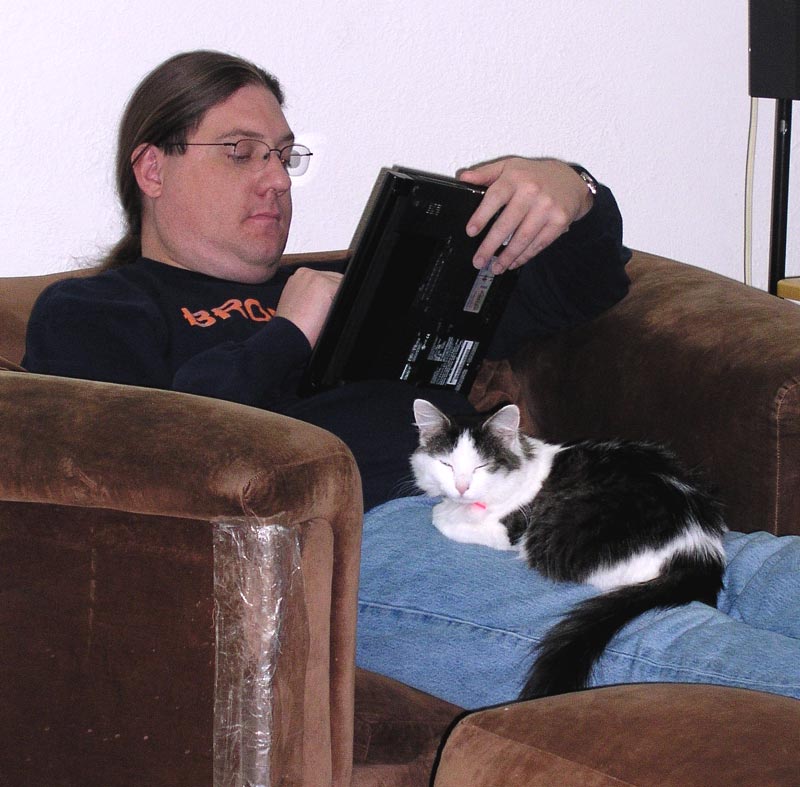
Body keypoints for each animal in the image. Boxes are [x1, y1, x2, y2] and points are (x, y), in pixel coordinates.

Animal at [410, 398, 727, 700]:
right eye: (446, 465)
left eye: (481, 467)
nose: (462, 488)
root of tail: (699, 549)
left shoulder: (507, 530)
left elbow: (442, 518)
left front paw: (446, 512)